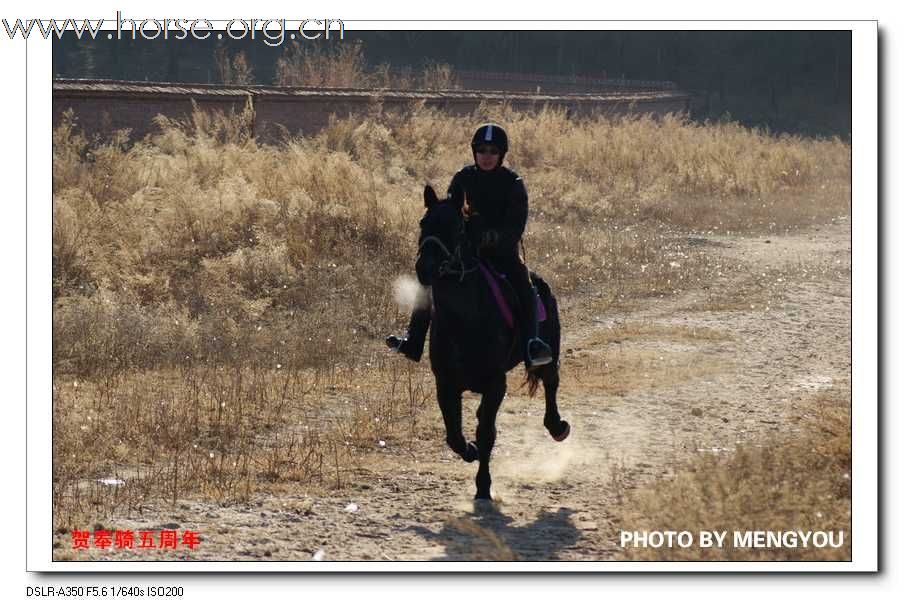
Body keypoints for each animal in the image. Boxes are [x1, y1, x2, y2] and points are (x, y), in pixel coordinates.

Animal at [418, 184, 572, 500]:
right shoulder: (445, 384)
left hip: (549, 351)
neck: (464, 319)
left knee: (551, 382)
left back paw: (557, 426)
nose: (423, 268)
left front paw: (483, 487)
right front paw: (471, 451)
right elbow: (454, 434)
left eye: (456, 227)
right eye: (423, 223)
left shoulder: (495, 384)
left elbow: (486, 432)